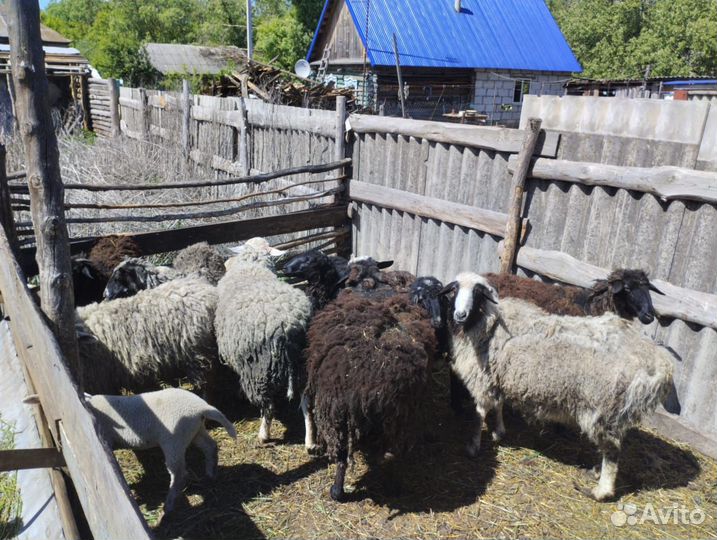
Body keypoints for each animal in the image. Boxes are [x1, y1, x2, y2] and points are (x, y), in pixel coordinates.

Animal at [215, 238, 312, 443]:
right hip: (303, 364)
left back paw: (263, 435)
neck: (253, 266)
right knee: (307, 402)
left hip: (258, 368)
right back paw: (310, 442)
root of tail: (288, 324)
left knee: (268, 406)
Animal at [303, 278, 442, 501]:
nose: (438, 322)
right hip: (388, 415)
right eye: (427, 297)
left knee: (343, 454)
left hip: (341, 411)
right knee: (385, 454)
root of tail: (362, 385)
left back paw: (338, 491)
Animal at [443, 272, 676, 501]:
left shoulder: (482, 379)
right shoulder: (497, 376)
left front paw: (473, 446)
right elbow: (498, 405)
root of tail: (659, 365)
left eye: (478, 293)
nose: (460, 315)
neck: (486, 322)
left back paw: (601, 491)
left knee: (612, 450)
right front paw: (499, 432)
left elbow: (479, 413)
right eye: (453, 290)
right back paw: (596, 472)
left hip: (603, 407)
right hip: (614, 413)